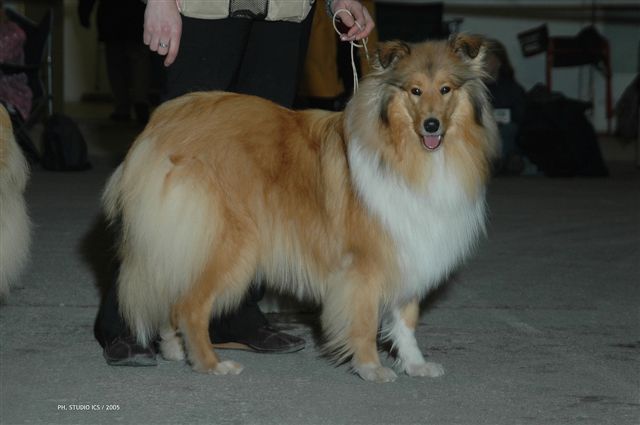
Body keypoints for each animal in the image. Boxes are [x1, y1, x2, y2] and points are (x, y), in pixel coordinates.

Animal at [102, 34, 498, 380]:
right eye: (415, 91)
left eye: (445, 89)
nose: (431, 126)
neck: (406, 152)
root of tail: (162, 122)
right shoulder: (365, 262)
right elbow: (365, 319)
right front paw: (371, 368)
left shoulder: (412, 245)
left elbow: (406, 318)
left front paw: (415, 365)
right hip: (228, 242)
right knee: (190, 306)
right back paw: (211, 364)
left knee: (172, 293)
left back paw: (173, 349)